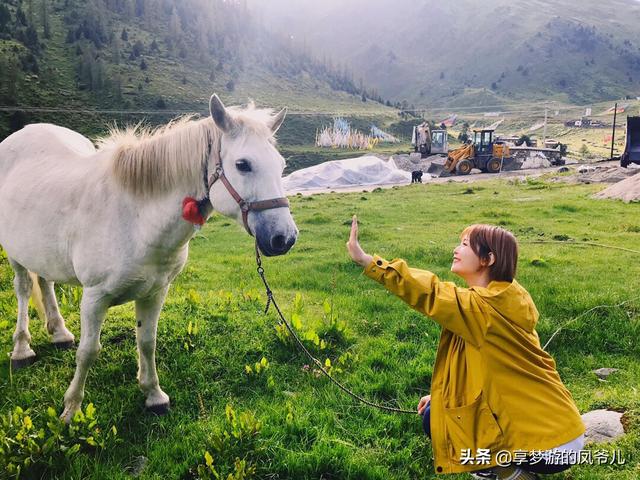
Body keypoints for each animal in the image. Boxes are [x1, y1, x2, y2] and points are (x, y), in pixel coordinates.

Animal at [0, 95, 298, 422]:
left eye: (281, 165)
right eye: (242, 165)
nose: (284, 238)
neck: (136, 218)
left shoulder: (155, 292)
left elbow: (146, 342)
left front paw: (153, 395)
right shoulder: (94, 297)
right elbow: (88, 351)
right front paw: (71, 409)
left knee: (45, 282)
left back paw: (59, 332)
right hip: (15, 253)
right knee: (24, 289)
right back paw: (21, 349)